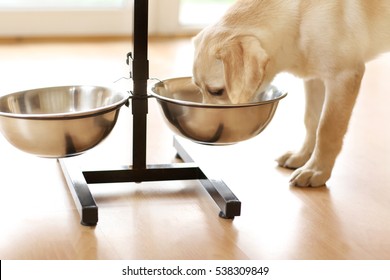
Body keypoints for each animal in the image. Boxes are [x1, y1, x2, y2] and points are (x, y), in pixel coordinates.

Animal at [192, 0, 390, 188]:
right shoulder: (314, 78)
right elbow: (311, 121)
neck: (299, 19)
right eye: (198, 88)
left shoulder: (343, 76)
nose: (204, 131)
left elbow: (327, 129)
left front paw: (317, 169)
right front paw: (302, 156)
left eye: (217, 91)